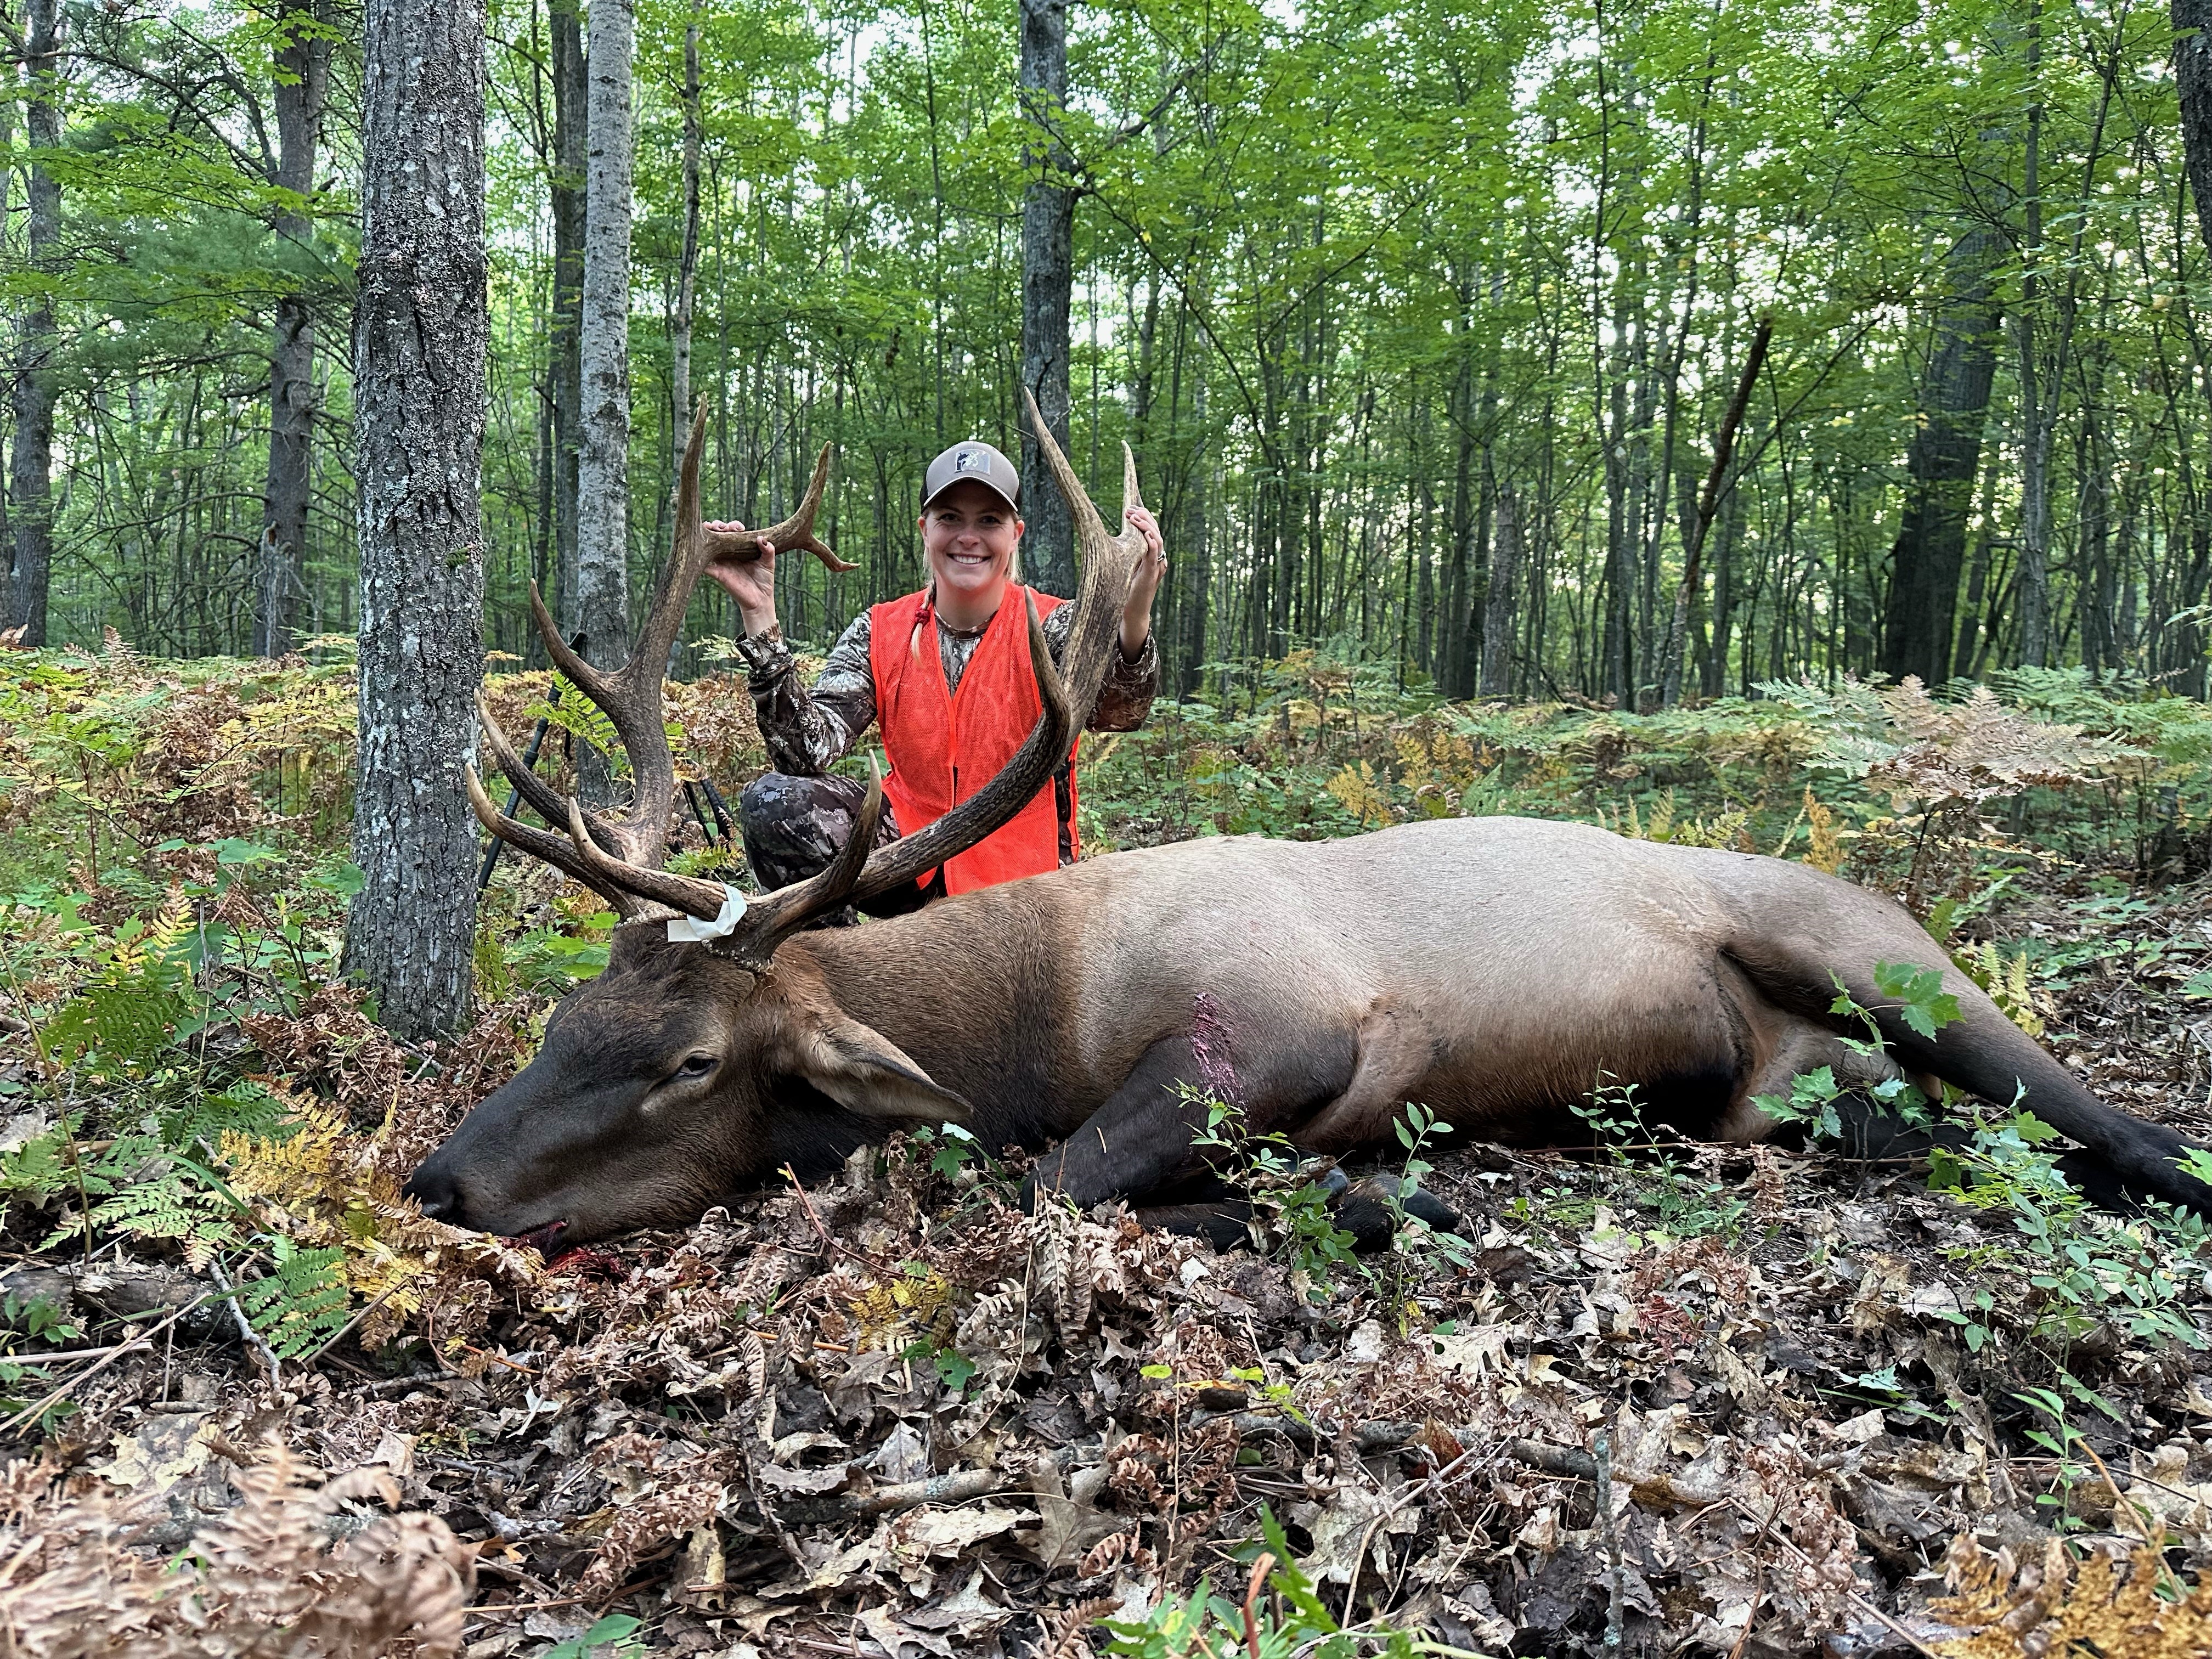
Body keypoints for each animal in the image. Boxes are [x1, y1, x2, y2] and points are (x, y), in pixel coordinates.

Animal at [411, 402, 2212, 1256]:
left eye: (692, 1060)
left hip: (1878, 952)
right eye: (562, 1022)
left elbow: (1060, 1184)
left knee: (2113, 1128)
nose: (437, 1182)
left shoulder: (1282, 1020)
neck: (1032, 1019)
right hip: (1778, 1097)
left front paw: (1368, 1198)